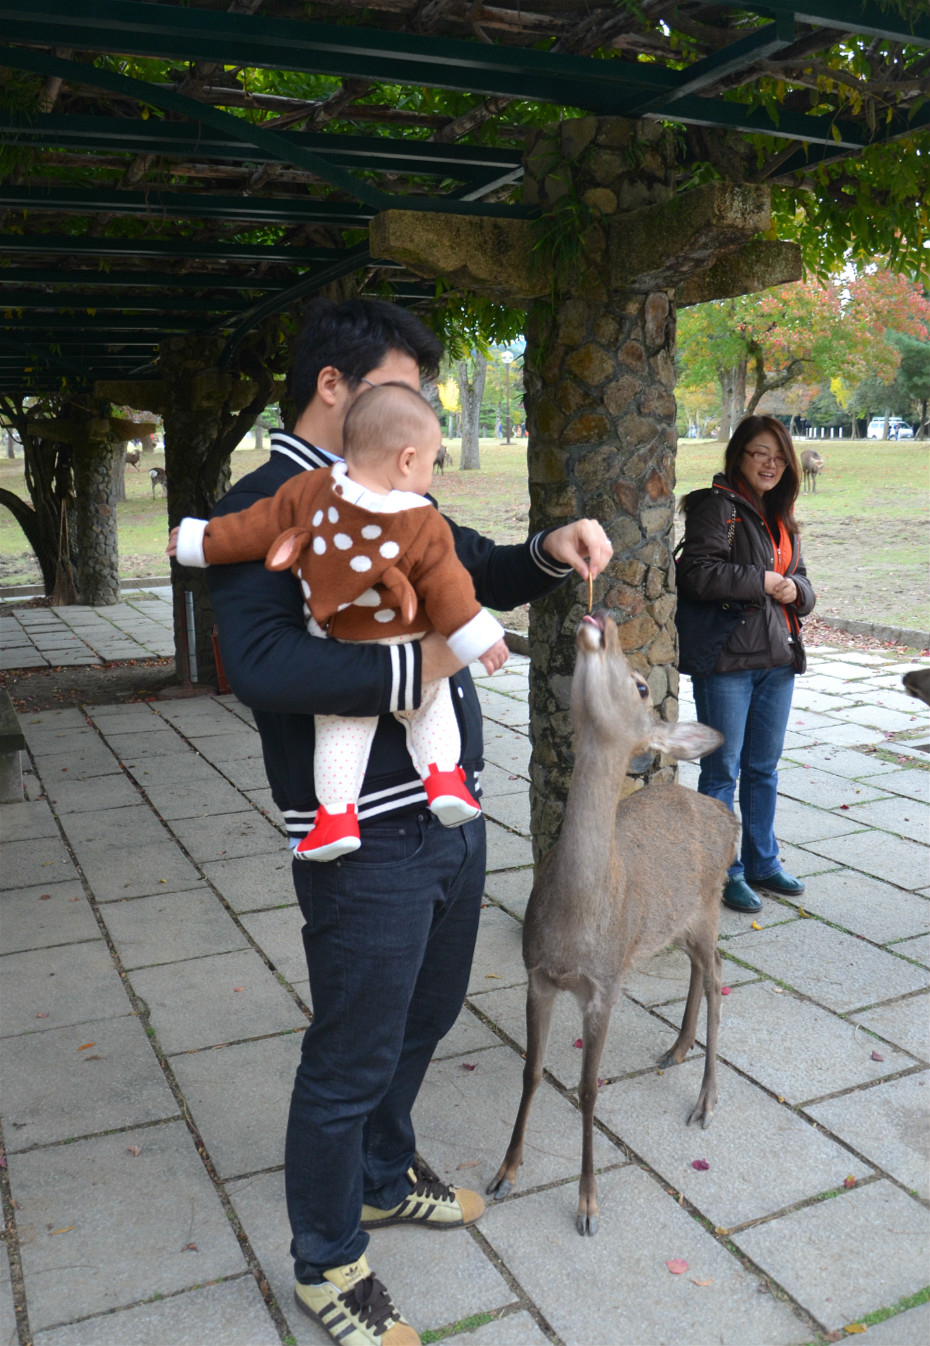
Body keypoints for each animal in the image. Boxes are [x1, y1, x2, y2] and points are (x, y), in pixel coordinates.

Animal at [487, 616, 742, 1232]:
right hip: (677, 921)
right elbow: (532, 1071)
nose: (600, 617)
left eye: (642, 686)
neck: (576, 925)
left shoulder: (605, 983)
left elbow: (586, 1089)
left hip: (708, 907)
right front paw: (505, 1173)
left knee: (719, 976)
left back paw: (705, 1100)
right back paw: (676, 1048)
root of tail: (731, 819)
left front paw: (588, 1205)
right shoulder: (536, 975)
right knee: (700, 970)